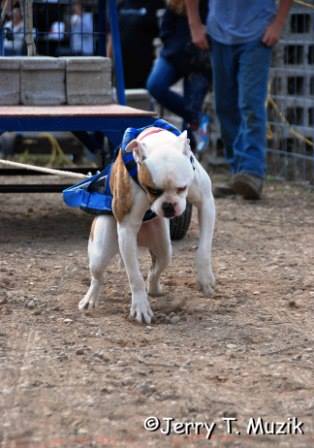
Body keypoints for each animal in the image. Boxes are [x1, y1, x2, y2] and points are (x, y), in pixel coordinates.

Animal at [78, 124, 216, 324]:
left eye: (182, 188)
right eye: (153, 190)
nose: (168, 206)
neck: (159, 141)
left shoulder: (206, 203)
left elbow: (204, 250)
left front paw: (205, 278)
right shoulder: (127, 228)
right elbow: (135, 277)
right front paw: (140, 307)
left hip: (163, 246)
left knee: (156, 268)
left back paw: (155, 289)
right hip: (101, 250)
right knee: (97, 275)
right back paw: (90, 299)